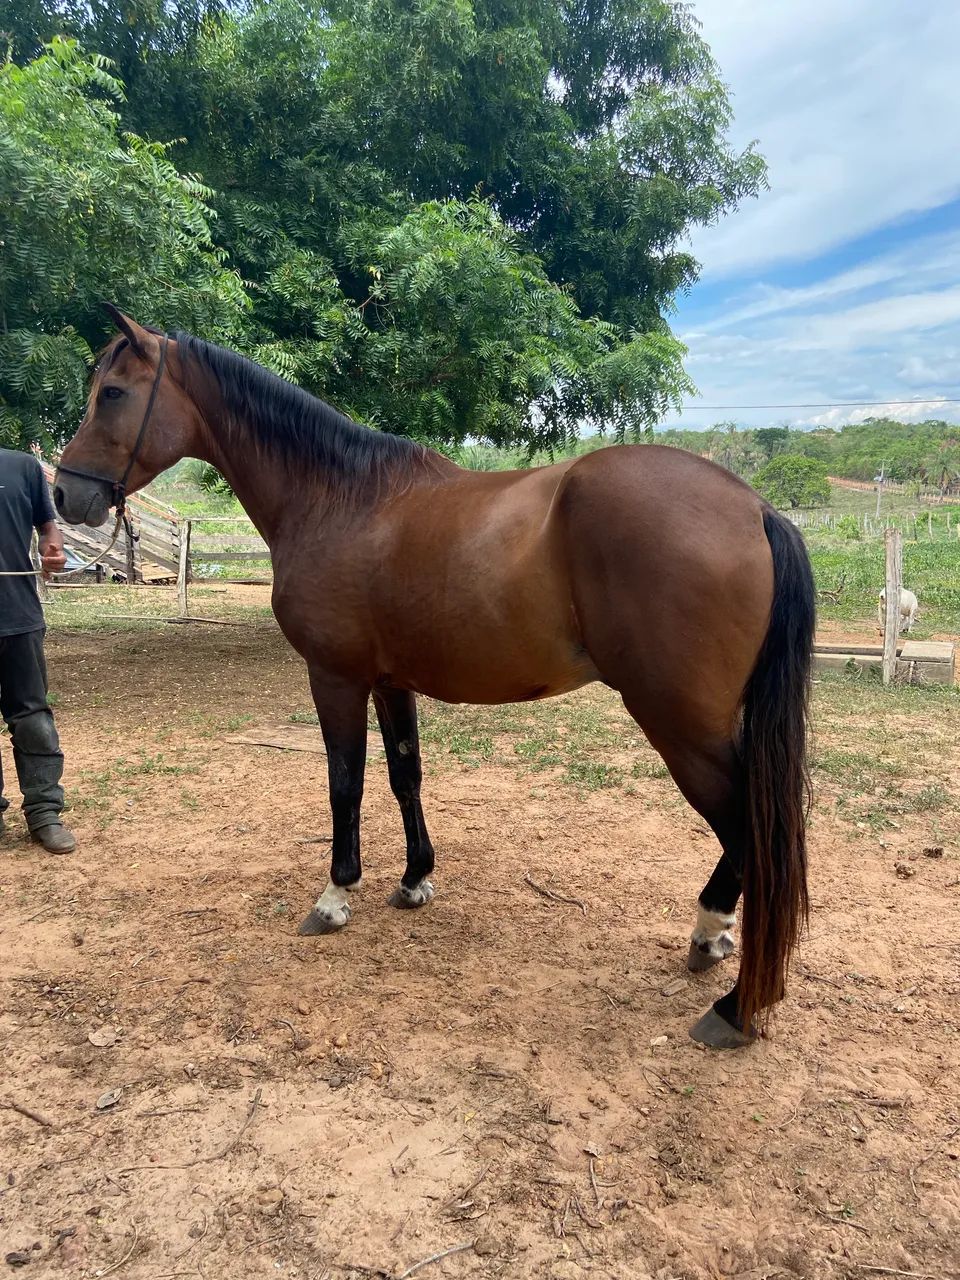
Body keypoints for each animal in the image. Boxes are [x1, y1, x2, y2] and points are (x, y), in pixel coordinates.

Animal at [54, 307, 816, 1050]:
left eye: (112, 393)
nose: (65, 494)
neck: (339, 498)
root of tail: (755, 509)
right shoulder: (391, 681)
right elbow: (405, 775)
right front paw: (415, 878)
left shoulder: (335, 677)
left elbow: (345, 783)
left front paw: (335, 897)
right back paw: (713, 944)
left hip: (680, 724)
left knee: (752, 832)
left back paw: (734, 1003)